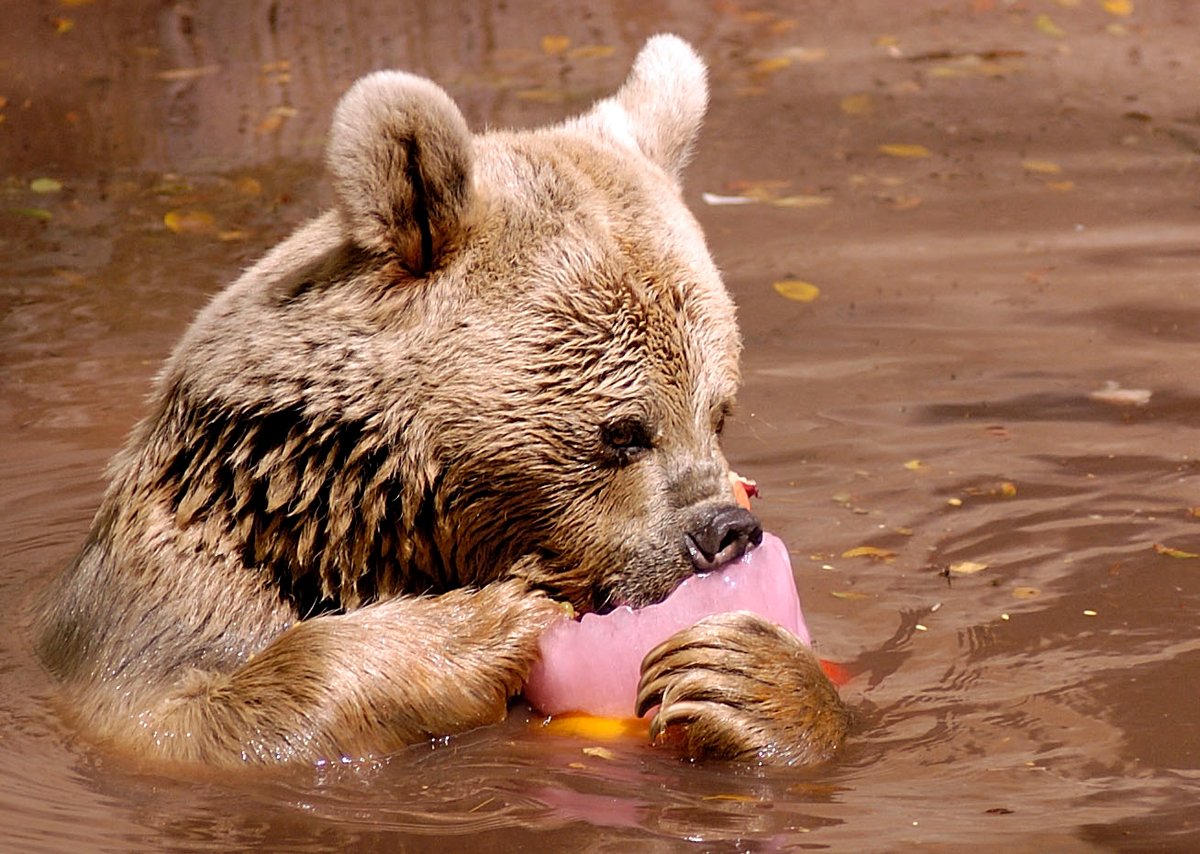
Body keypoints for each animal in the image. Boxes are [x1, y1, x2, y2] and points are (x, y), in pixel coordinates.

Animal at [35, 35, 844, 767]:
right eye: (622, 431)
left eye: (718, 413)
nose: (726, 530)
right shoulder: (169, 609)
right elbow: (191, 717)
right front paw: (483, 625)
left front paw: (741, 674)